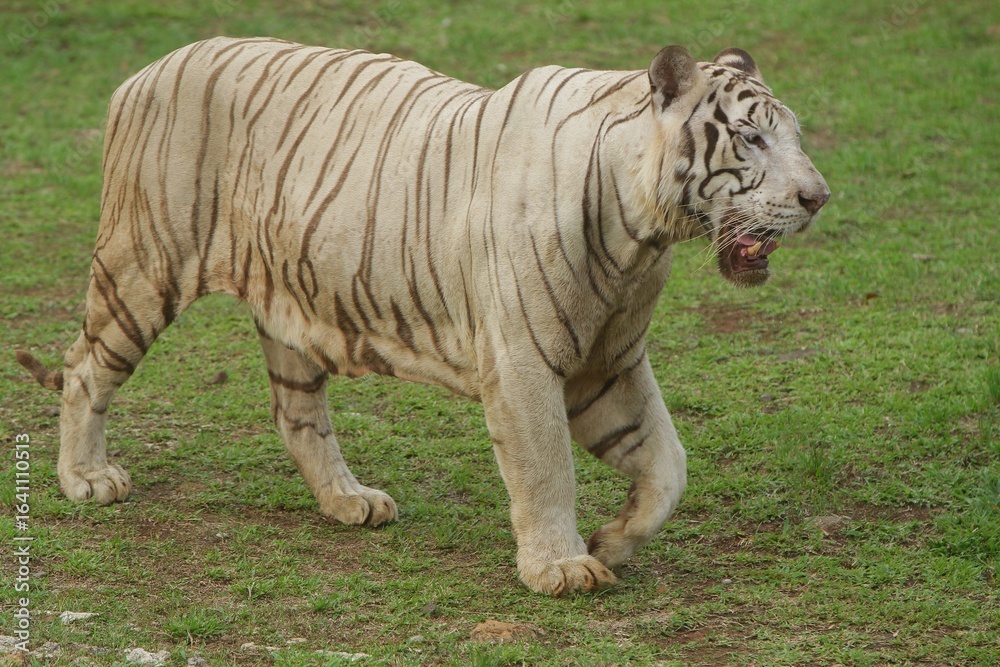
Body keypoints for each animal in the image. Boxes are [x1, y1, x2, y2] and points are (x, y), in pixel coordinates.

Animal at [16, 37, 829, 596]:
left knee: (295, 414)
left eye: (791, 135)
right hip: (142, 265)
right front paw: (561, 566)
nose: (819, 197)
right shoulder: (525, 360)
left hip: (291, 307)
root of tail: (145, 70)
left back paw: (349, 501)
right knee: (85, 371)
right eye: (752, 137)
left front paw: (614, 540)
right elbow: (546, 469)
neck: (643, 231)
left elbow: (668, 467)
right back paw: (87, 479)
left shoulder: (610, 363)